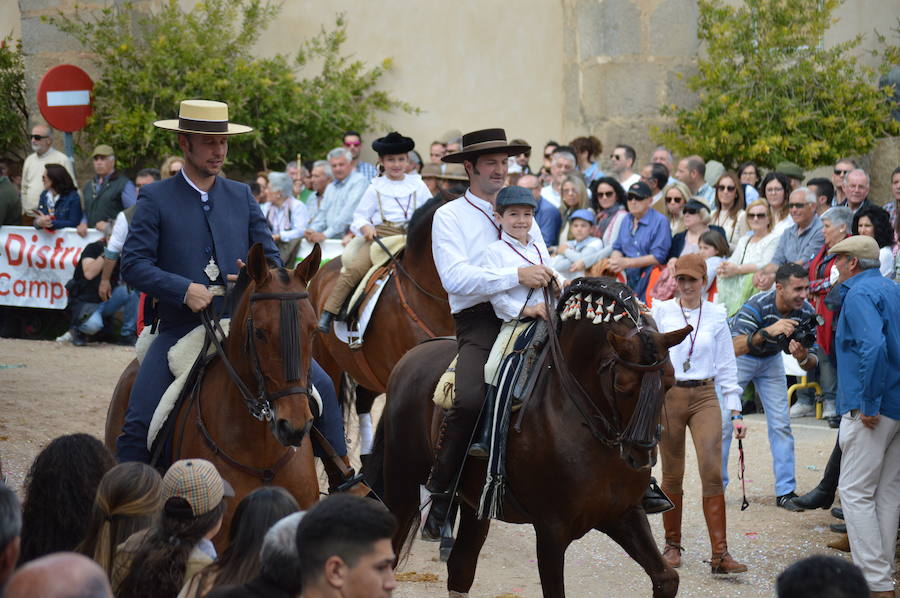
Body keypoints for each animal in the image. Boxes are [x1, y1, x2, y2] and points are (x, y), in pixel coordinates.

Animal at [364, 278, 688, 596]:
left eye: (670, 383)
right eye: (623, 386)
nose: (641, 456)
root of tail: (411, 356)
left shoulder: (623, 513)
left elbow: (667, 578)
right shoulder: (551, 530)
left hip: (474, 505)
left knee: (461, 566)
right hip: (404, 487)